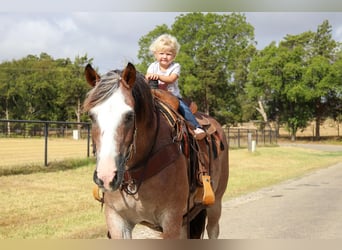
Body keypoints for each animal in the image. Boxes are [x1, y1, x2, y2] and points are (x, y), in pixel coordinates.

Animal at [83, 62, 228, 238]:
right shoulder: (116, 219)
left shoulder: (171, 219)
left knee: (213, 229)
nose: (106, 177)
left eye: (129, 116)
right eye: (91, 116)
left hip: (215, 204)